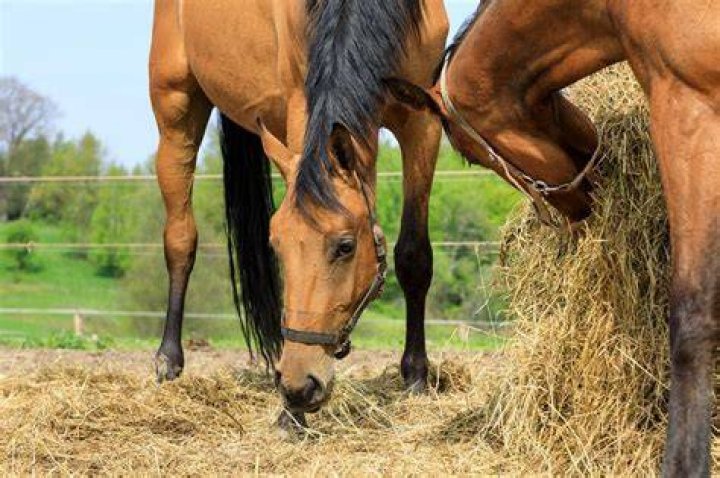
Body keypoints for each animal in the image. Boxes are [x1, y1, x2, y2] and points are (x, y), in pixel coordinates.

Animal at [149, 0, 448, 425]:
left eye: (345, 246)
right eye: (278, 245)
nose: (298, 386)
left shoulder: (422, 122)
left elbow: (414, 255)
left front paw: (417, 377)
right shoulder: (299, 102)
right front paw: (289, 418)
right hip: (175, 112)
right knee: (180, 242)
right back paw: (169, 361)